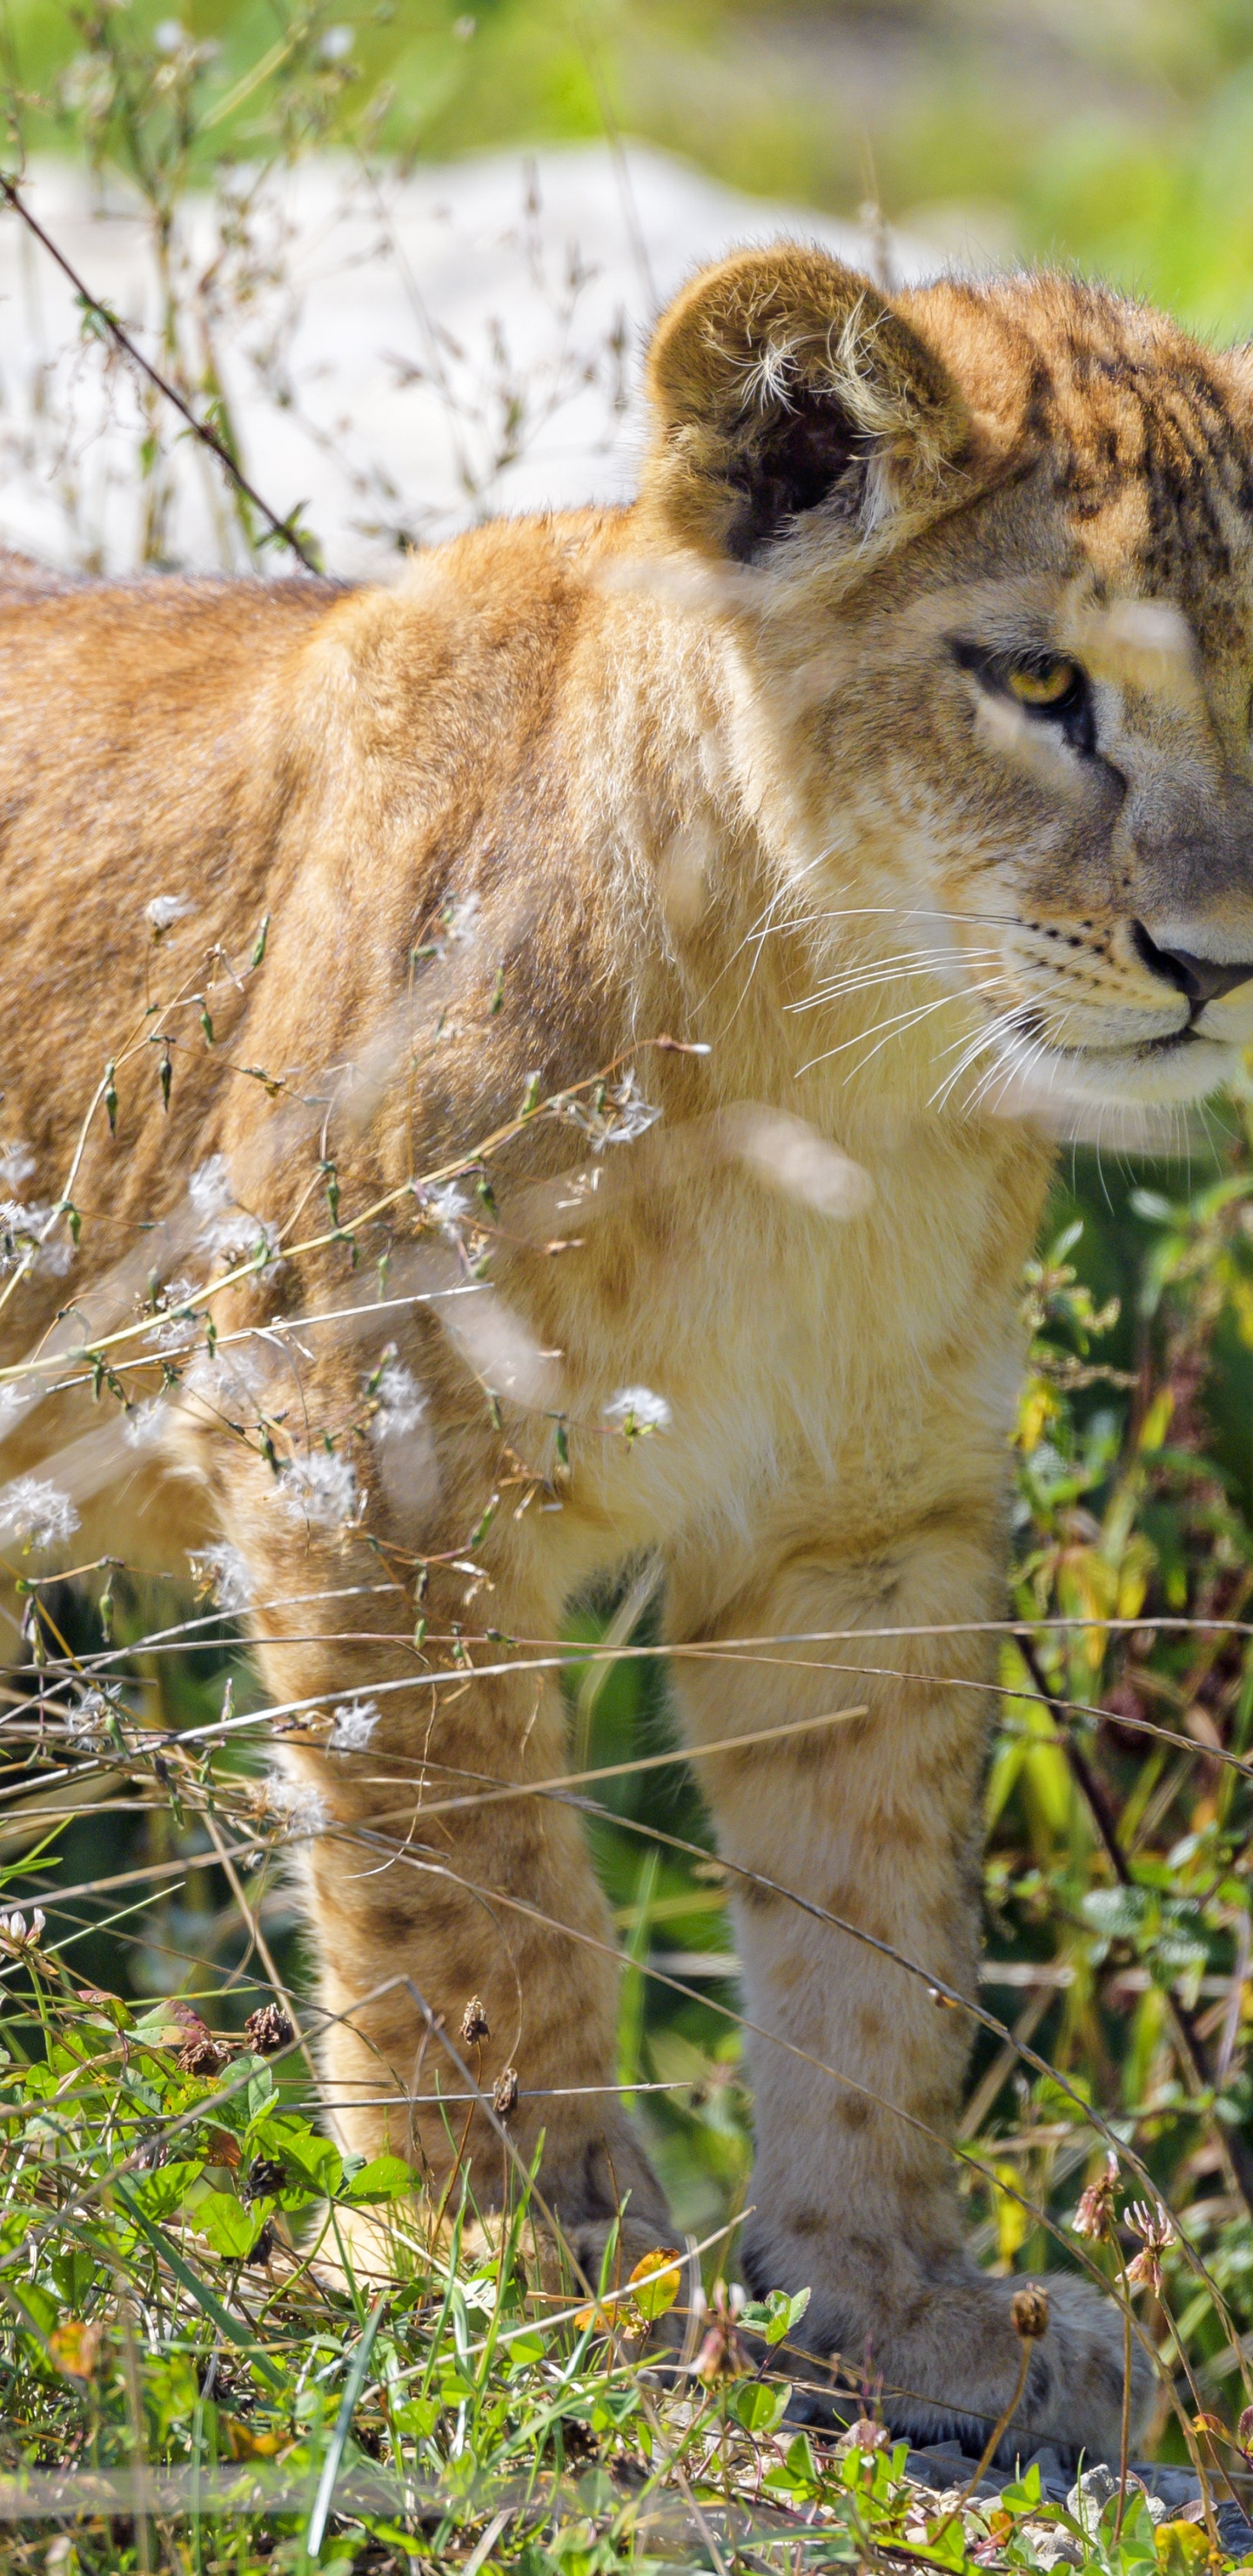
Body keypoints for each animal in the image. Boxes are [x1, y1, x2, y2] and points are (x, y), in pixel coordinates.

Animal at [3, 243, 1251, 2459]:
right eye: (1035, 684)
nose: (1222, 964)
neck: (834, 1060)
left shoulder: (858, 1529)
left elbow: (874, 1934)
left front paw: (896, 2302)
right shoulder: (362, 1441)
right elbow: (473, 1891)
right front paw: (529, 2266)